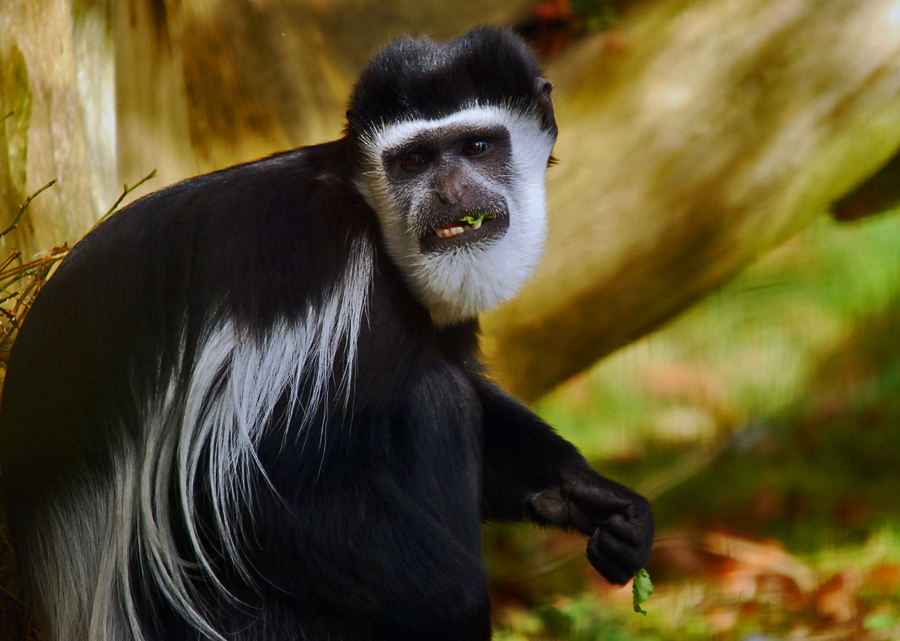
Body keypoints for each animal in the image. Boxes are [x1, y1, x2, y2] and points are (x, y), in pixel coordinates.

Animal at [0, 27, 653, 641]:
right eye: (413, 162)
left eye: (477, 147)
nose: (449, 193)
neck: (372, 216)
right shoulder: (331, 290)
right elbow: (250, 497)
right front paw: (469, 601)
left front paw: (594, 499)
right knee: (433, 401)